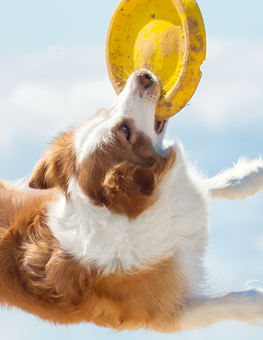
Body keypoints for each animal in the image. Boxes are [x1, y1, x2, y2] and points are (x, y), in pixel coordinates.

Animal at [0, 69, 263, 332]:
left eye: (103, 112)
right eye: (126, 131)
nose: (142, 74)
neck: (119, 212)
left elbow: (208, 187)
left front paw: (253, 174)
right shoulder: (170, 312)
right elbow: (233, 302)